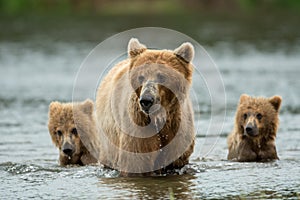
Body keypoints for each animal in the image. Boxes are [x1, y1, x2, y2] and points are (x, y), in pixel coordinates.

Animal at [95, 38, 196, 175]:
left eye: (162, 76)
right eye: (141, 76)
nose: (146, 100)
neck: (158, 117)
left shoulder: (177, 131)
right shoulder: (138, 128)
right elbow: (136, 160)